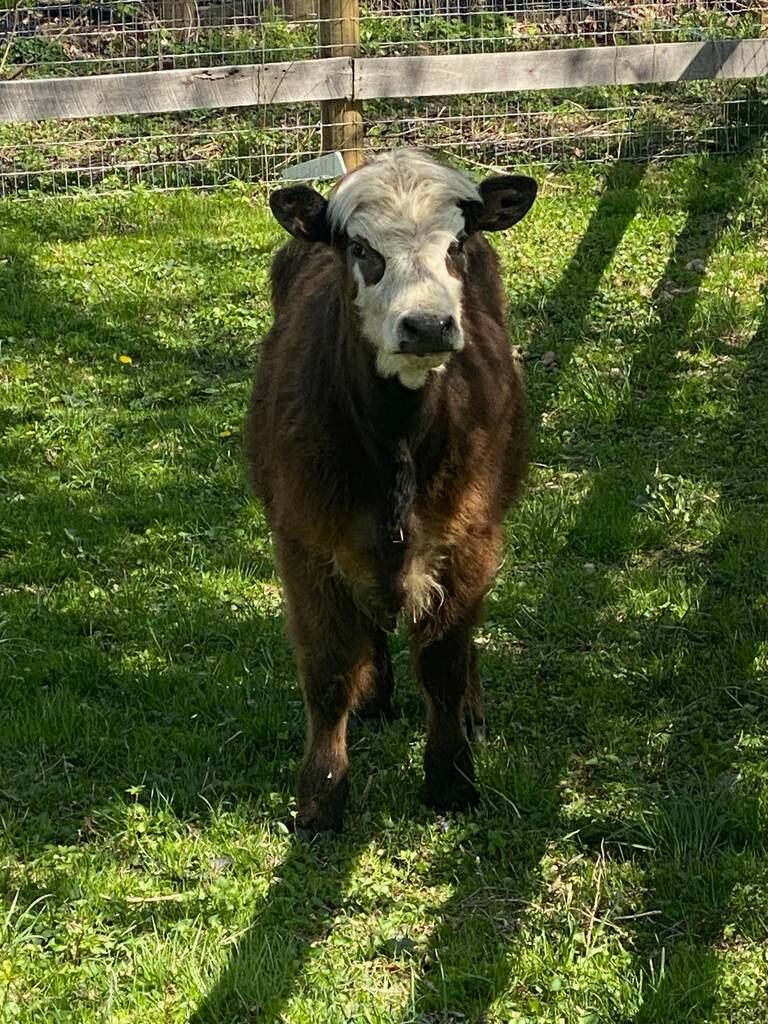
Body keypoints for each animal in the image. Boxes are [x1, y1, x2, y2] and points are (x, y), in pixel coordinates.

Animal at [246, 153, 536, 839]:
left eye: (456, 244)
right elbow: (328, 673)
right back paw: (374, 693)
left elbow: (444, 664)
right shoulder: (304, 542)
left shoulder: (470, 539)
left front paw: (451, 779)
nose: (427, 324)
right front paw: (321, 797)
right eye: (359, 248)